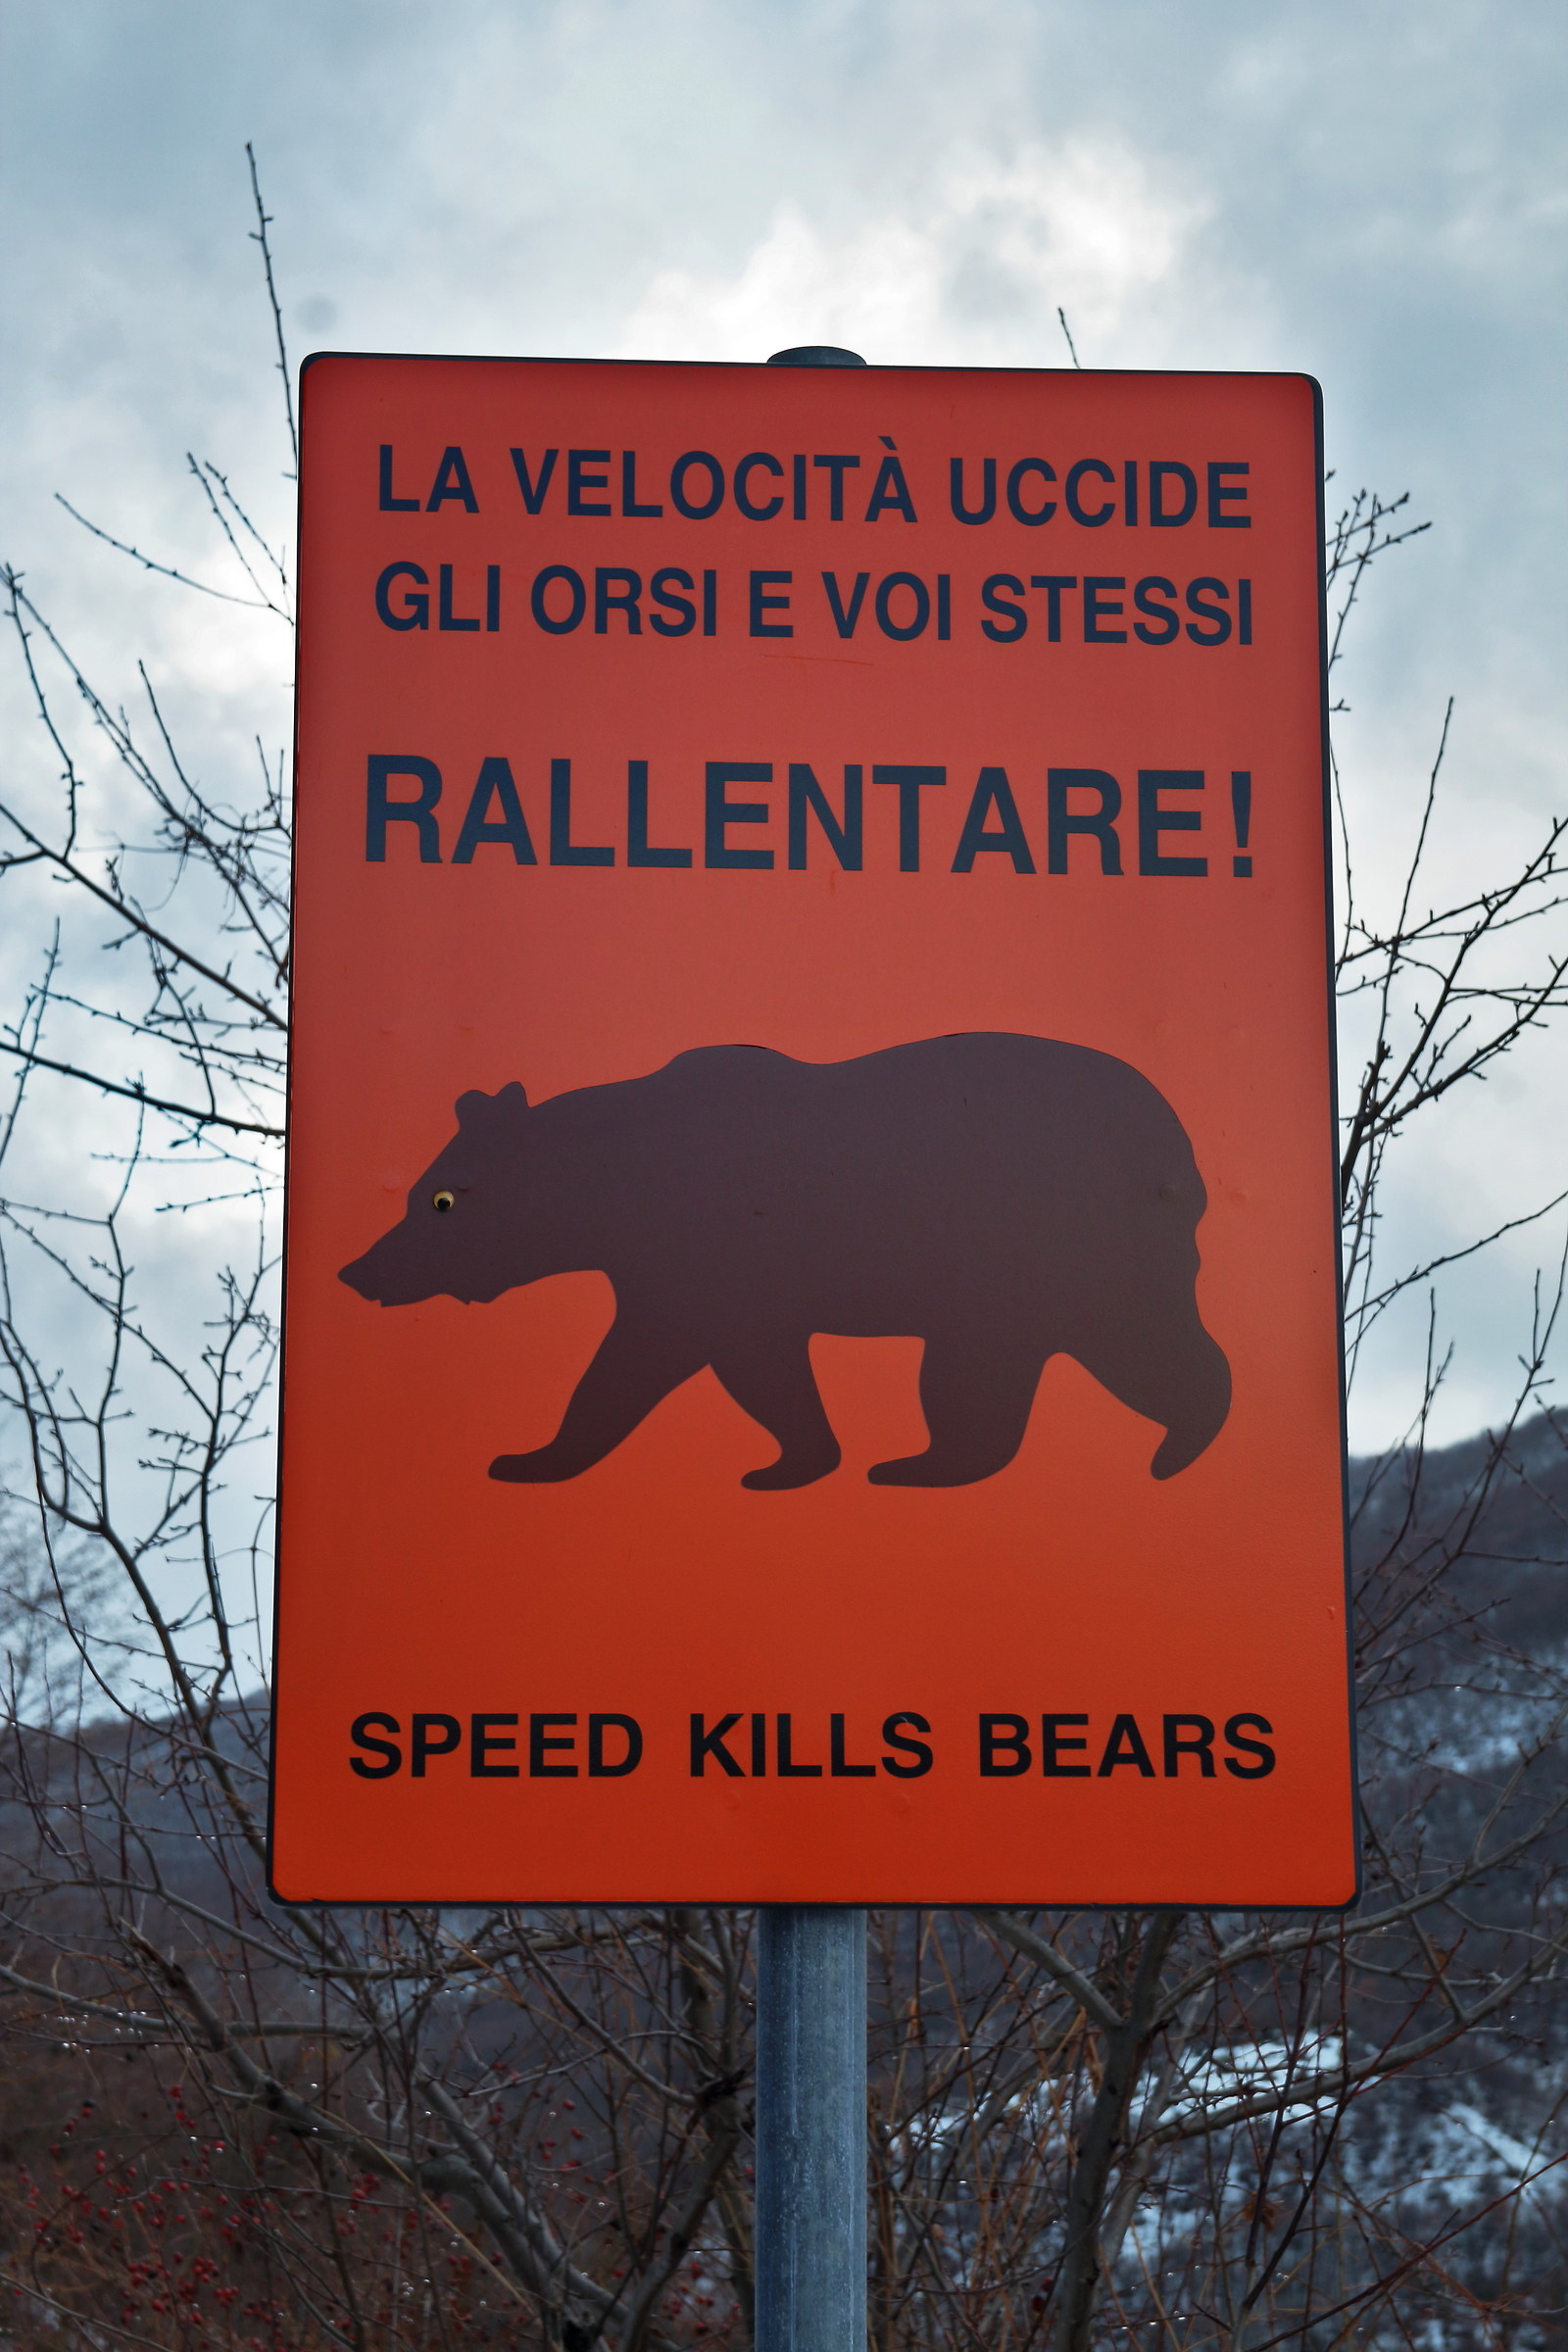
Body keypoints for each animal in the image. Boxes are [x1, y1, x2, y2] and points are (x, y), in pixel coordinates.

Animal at [338, 1032, 1232, 1491]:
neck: (620, 1183)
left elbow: (655, 1364)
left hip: (1058, 1245)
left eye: (440, 1200)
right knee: (999, 1370)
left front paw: (528, 1458)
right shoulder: (683, 1272)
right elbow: (707, 1363)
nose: (359, 1271)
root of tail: (1180, 1151)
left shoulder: (711, 1259)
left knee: (1115, 1346)